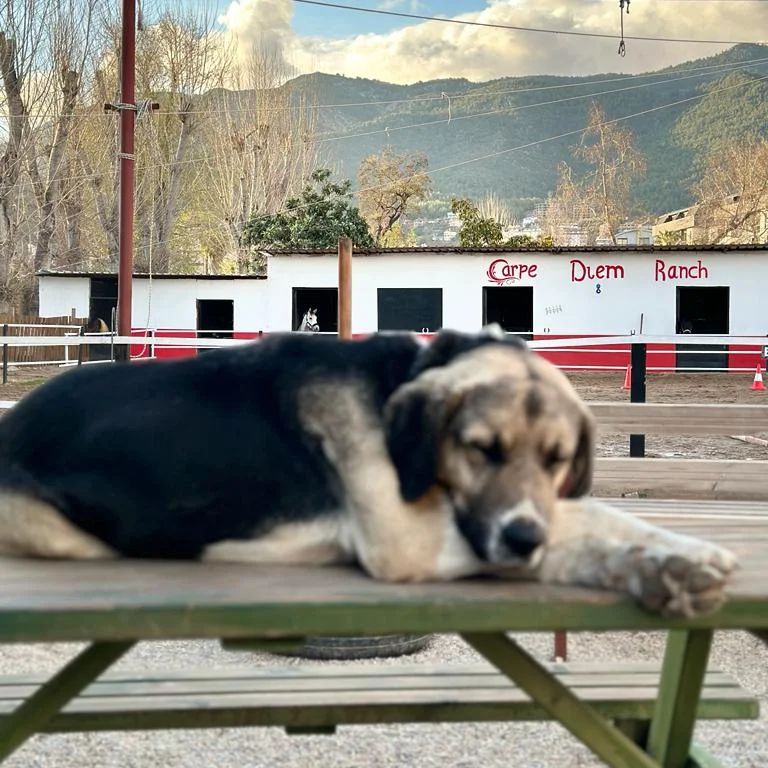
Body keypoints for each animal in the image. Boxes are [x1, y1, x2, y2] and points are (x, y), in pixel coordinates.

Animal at [0, 328, 736, 616]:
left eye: (557, 460)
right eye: (481, 449)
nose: (522, 538)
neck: (399, 381)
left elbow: (587, 515)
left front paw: (679, 555)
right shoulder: (406, 543)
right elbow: (575, 528)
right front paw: (662, 563)